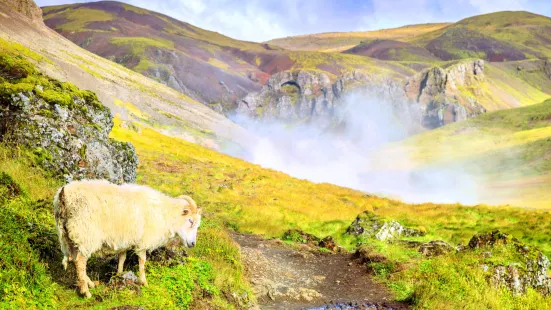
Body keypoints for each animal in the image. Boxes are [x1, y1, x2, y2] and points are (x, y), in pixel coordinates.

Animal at [52, 179, 201, 298]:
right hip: (85, 233)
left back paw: (90, 283)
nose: (192, 244)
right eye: (190, 221)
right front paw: (144, 282)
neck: (165, 214)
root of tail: (64, 195)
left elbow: (122, 258)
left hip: (67, 235)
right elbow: (142, 261)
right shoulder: (143, 241)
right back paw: (86, 291)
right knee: (80, 262)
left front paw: (119, 275)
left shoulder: (125, 239)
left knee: (73, 259)